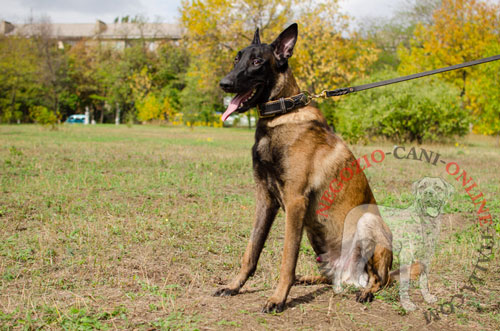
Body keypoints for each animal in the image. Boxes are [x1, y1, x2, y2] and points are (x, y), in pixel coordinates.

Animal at [215, 22, 398, 314]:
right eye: (236, 58)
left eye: (256, 62)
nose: (225, 83)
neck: (281, 115)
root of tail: (350, 277)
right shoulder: (265, 199)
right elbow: (251, 250)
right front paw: (234, 286)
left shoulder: (295, 202)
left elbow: (287, 259)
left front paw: (278, 298)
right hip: (318, 239)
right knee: (330, 277)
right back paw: (309, 278)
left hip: (368, 222)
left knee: (381, 279)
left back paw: (366, 292)